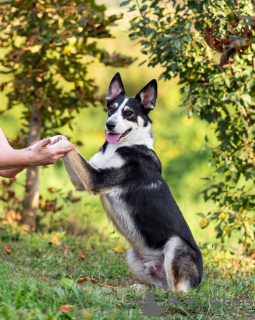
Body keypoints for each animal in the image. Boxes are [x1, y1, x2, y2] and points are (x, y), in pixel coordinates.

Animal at [46, 73, 203, 292]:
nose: (109, 125)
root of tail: (198, 283)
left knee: (175, 291)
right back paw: (141, 289)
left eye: (128, 113)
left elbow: (71, 147)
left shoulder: (95, 179)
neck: (125, 145)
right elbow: (70, 150)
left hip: (176, 245)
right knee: (160, 288)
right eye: (111, 109)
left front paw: (57, 142)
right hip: (133, 257)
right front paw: (55, 138)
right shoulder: (83, 180)